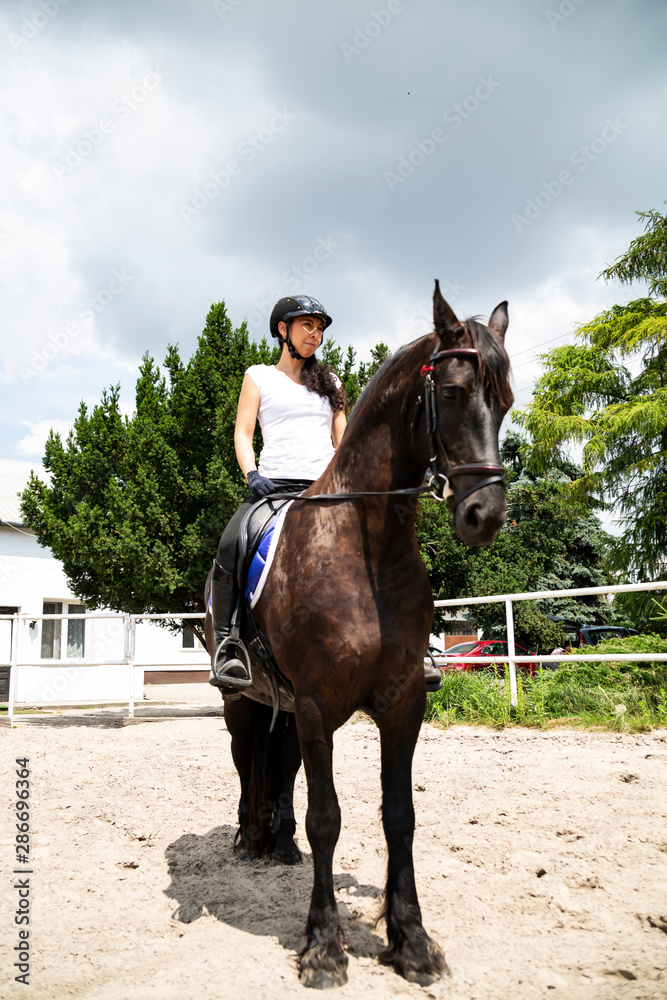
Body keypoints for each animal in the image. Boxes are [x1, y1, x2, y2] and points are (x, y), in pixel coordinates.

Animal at [204, 282, 513, 988]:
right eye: (451, 392)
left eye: (507, 400)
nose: (483, 515)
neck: (364, 545)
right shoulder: (319, 702)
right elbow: (328, 818)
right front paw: (323, 947)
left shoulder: (402, 701)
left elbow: (399, 816)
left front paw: (412, 942)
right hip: (242, 701)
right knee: (245, 762)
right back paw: (246, 838)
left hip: (287, 708)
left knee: (279, 767)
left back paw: (277, 841)